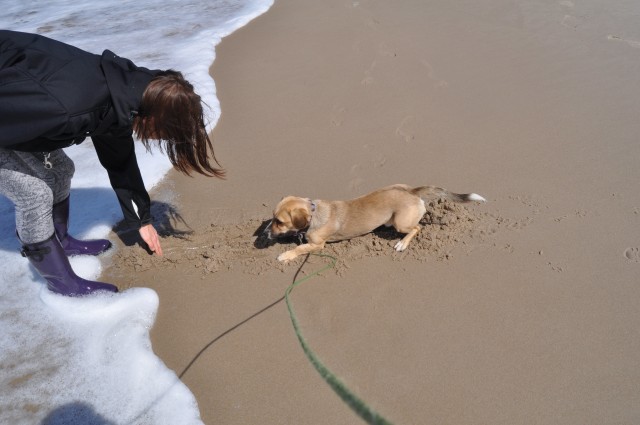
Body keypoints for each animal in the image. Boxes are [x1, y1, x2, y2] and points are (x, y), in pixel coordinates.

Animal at [268, 184, 484, 260]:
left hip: (401, 223)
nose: (265, 233)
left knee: (417, 227)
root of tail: (411, 191)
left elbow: (299, 248)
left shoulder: (317, 245)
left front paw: (285, 255)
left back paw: (402, 244)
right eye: (272, 218)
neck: (313, 214)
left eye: (280, 221)